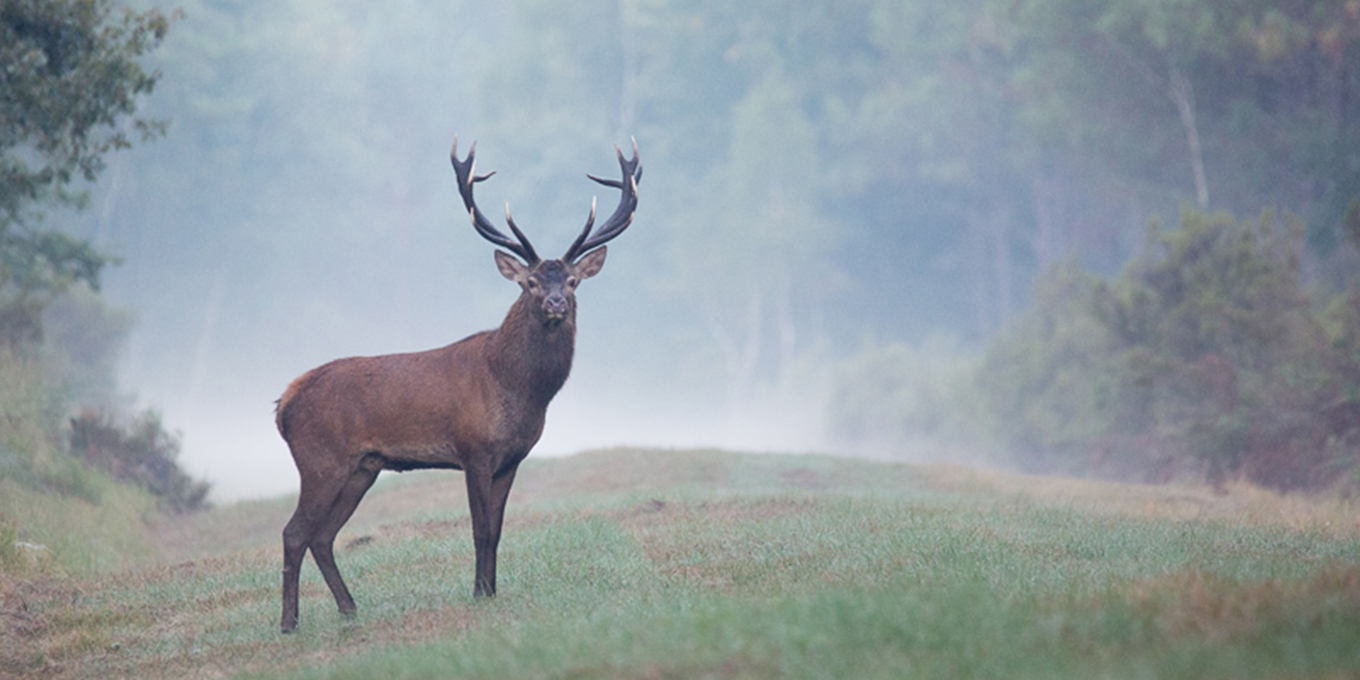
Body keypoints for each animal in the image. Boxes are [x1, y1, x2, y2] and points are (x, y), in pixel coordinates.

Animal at [274, 136, 641, 631]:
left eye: (572, 280)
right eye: (529, 282)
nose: (555, 304)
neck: (518, 389)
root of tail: (283, 403)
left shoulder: (511, 459)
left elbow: (497, 531)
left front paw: (492, 589)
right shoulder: (473, 450)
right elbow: (479, 528)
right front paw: (479, 593)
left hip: (361, 468)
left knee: (323, 535)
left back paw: (350, 609)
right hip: (319, 461)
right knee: (295, 532)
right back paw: (289, 623)